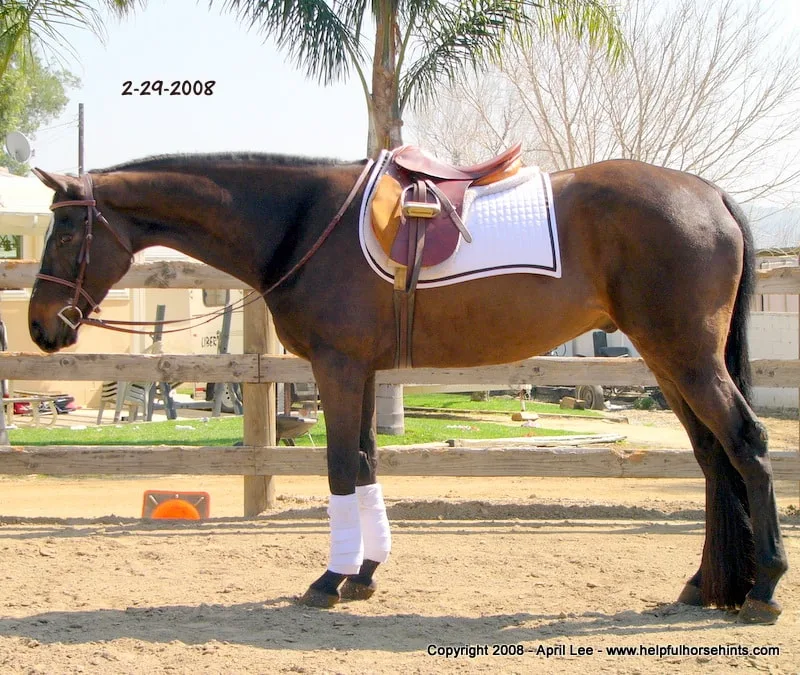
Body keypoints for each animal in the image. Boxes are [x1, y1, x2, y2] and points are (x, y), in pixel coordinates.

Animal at [28, 152, 784, 624]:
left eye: (65, 228)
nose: (41, 326)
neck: (305, 221)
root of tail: (709, 194)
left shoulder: (336, 366)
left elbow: (340, 468)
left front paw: (329, 579)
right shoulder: (359, 371)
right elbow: (365, 463)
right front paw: (364, 572)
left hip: (687, 357)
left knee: (747, 445)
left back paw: (764, 588)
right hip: (670, 360)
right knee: (714, 458)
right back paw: (704, 585)